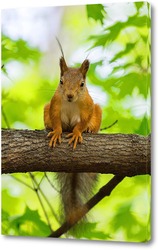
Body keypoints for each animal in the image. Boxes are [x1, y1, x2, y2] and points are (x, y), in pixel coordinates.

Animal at [43, 51, 102, 224]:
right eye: (61, 81)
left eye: (82, 84)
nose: (69, 95)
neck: (70, 103)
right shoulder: (54, 105)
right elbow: (56, 121)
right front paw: (56, 132)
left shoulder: (88, 106)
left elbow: (82, 123)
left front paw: (78, 133)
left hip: (98, 110)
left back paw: (90, 130)